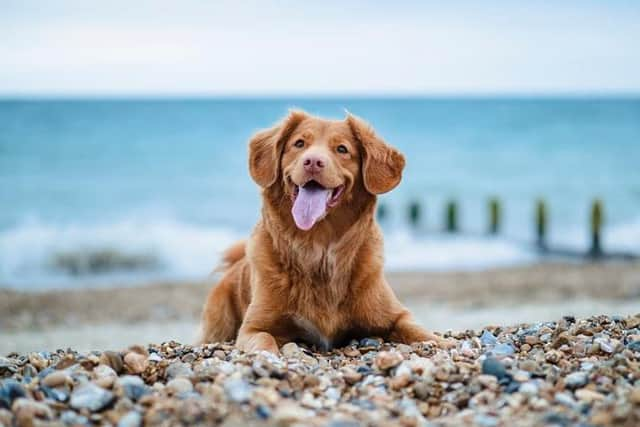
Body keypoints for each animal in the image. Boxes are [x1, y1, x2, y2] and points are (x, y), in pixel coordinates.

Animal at [200, 110, 450, 354]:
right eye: (299, 143)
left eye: (342, 149)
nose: (312, 161)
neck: (318, 248)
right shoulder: (254, 327)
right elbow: (264, 341)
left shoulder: (396, 315)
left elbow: (419, 330)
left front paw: (440, 342)